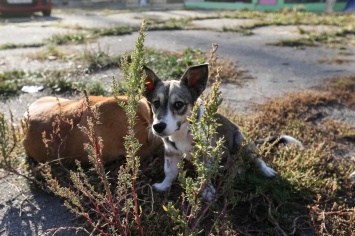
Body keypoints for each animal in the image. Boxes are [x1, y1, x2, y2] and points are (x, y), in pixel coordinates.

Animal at [142, 63, 304, 201]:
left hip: (242, 141)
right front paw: (164, 186)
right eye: (156, 103)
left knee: (256, 159)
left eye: (178, 104)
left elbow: (204, 175)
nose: (158, 127)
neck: (183, 131)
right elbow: (169, 172)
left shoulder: (206, 154)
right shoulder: (170, 152)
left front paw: (207, 192)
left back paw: (265, 170)